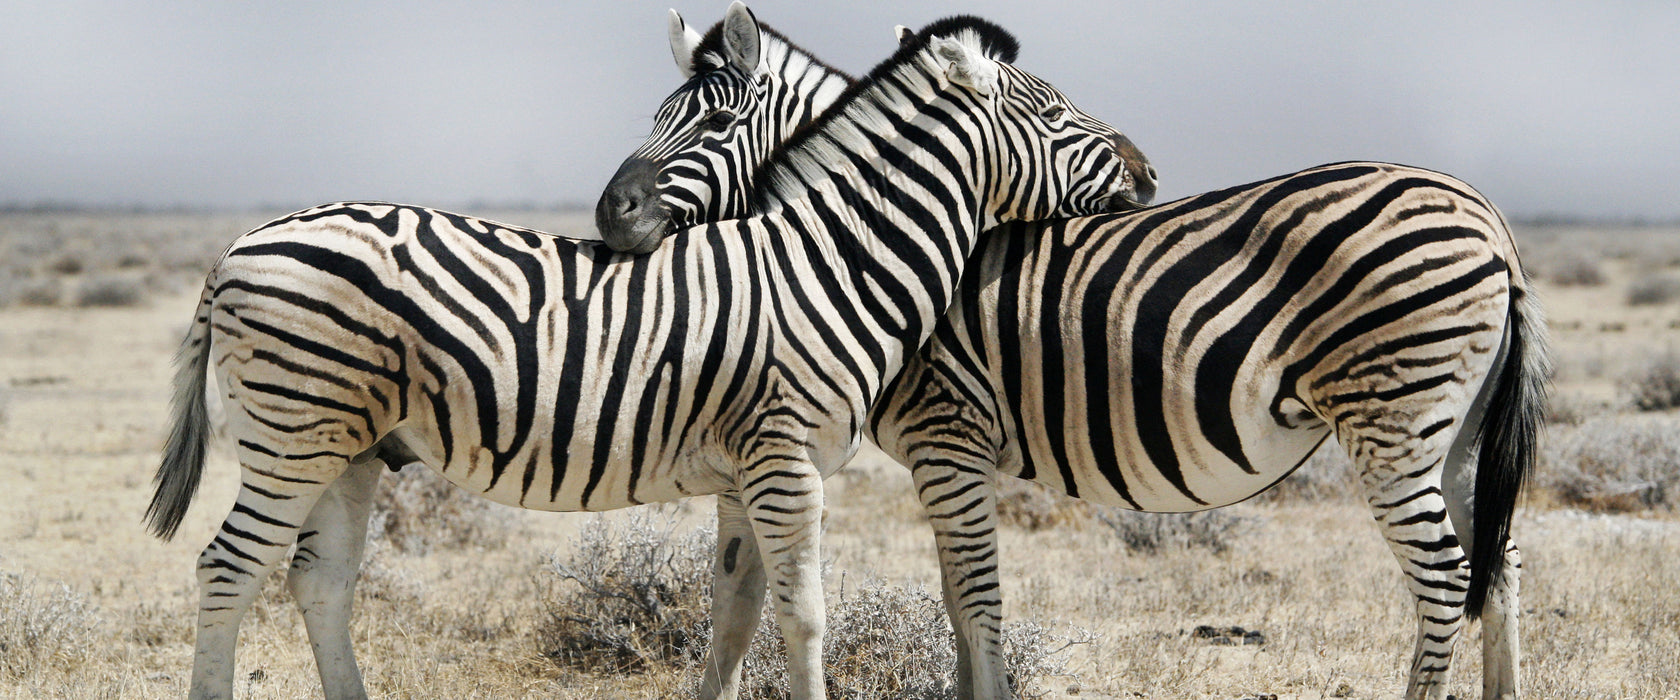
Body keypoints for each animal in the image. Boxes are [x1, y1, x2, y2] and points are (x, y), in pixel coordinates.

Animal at [144, 10, 1155, 698]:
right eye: (1056, 114)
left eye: (712, 124)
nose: (1147, 173)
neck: (830, 259)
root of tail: (237, 247)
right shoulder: (787, 463)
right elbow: (806, 617)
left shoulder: (747, 473)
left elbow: (736, 615)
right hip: (292, 433)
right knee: (227, 570)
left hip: (347, 446)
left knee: (318, 581)